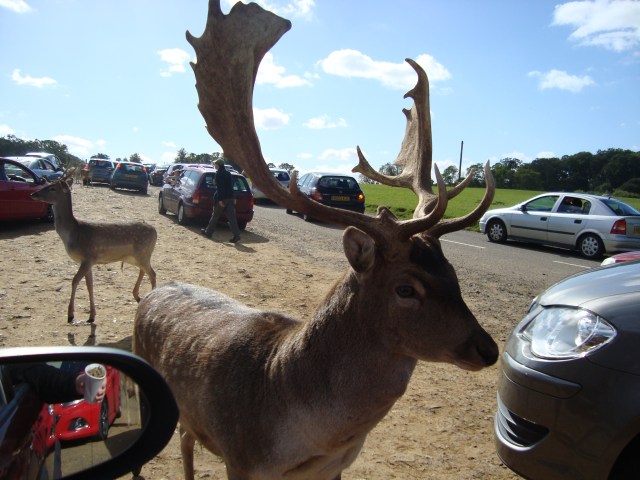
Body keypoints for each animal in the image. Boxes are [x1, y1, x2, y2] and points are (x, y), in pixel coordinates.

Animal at [31, 174, 157, 323]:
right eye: (47, 183)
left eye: (53, 188)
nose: (33, 193)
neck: (73, 234)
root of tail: (156, 232)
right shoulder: (88, 261)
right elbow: (89, 285)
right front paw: (91, 316)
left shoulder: (87, 257)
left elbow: (74, 281)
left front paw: (70, 315)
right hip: (135, 257)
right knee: (144, 271)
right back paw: (137, 296)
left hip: (143, 253)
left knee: (153, 273)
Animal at [133, 1, 498, 479]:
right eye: (406, 288)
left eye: (452, 272)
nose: (488, 348)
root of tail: (151, 296)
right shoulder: (241, 457)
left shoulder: (334, 467)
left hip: (189, 415)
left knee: (185, 436)